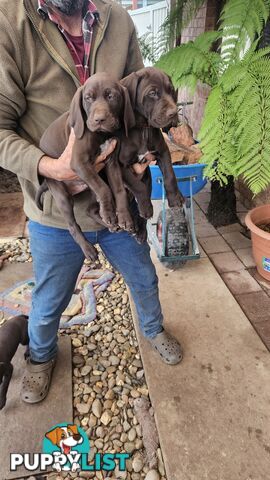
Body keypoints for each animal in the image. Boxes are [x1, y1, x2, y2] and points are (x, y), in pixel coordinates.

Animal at [37, 72, 136, 258]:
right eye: (88, 98)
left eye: (111, 96)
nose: (99, 119)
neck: (101, 135)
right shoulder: (79, 163)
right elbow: (105, 189)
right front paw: (110, 214)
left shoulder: (111, 163)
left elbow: (118, 190)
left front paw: (124, 217)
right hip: (62, 194)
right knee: (72, 225)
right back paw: (88, 249)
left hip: (88, 184)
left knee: (90, 209)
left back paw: (111, 224)